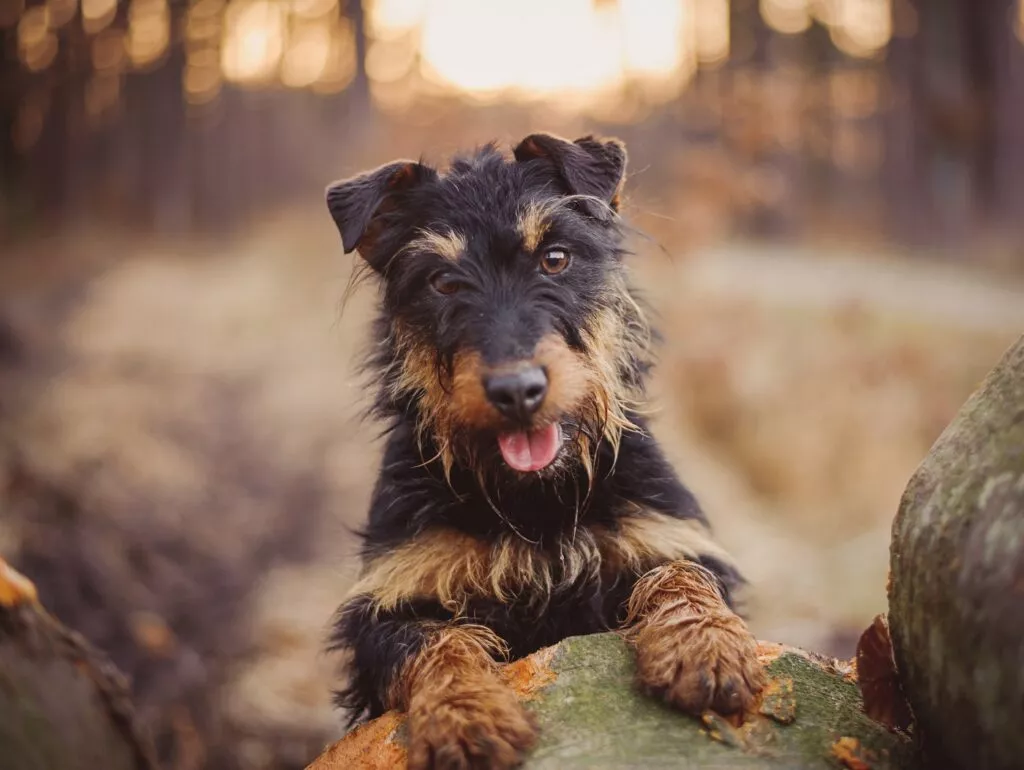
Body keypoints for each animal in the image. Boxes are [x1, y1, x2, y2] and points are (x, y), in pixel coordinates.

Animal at [323, 135, 765, 765]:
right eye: (443, 283)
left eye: (555, 258)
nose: (517, 390)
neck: (536, 500)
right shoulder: (384, 606)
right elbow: (434, 641)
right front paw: (465, 715)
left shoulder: (671, 536)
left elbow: (681, 574)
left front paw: (704, 647)